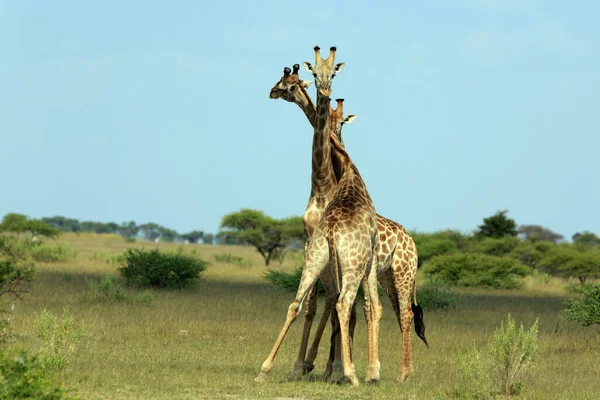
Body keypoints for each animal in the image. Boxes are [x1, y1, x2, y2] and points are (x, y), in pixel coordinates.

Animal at [256, 46, 426, 384]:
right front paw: (317, 366)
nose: (271, 91)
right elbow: (328, 305)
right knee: (376, 307)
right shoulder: (315, 244)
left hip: (399, 272)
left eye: (290, 82)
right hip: (383, 273)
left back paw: (393, 371)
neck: (326, 183)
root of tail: (411, 241)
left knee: (395, 310)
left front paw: (325, 366)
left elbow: (342, 305)